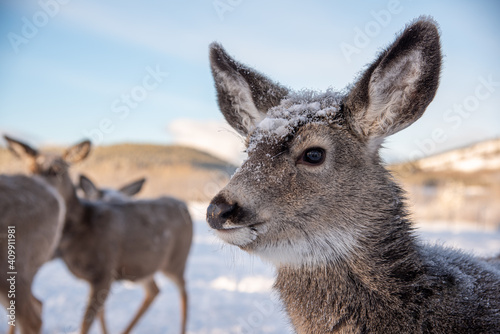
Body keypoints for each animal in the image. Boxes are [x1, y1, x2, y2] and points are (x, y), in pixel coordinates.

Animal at [5, 136, 193, 334]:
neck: (83, 228)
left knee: (183, 291)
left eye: (57, 170)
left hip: (177, 260)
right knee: (154, 290)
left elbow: (86, 323)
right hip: (145, 266)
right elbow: (100, 315)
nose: (37, 191)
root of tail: (184, 205)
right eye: (29, 170)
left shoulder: (105, 270)